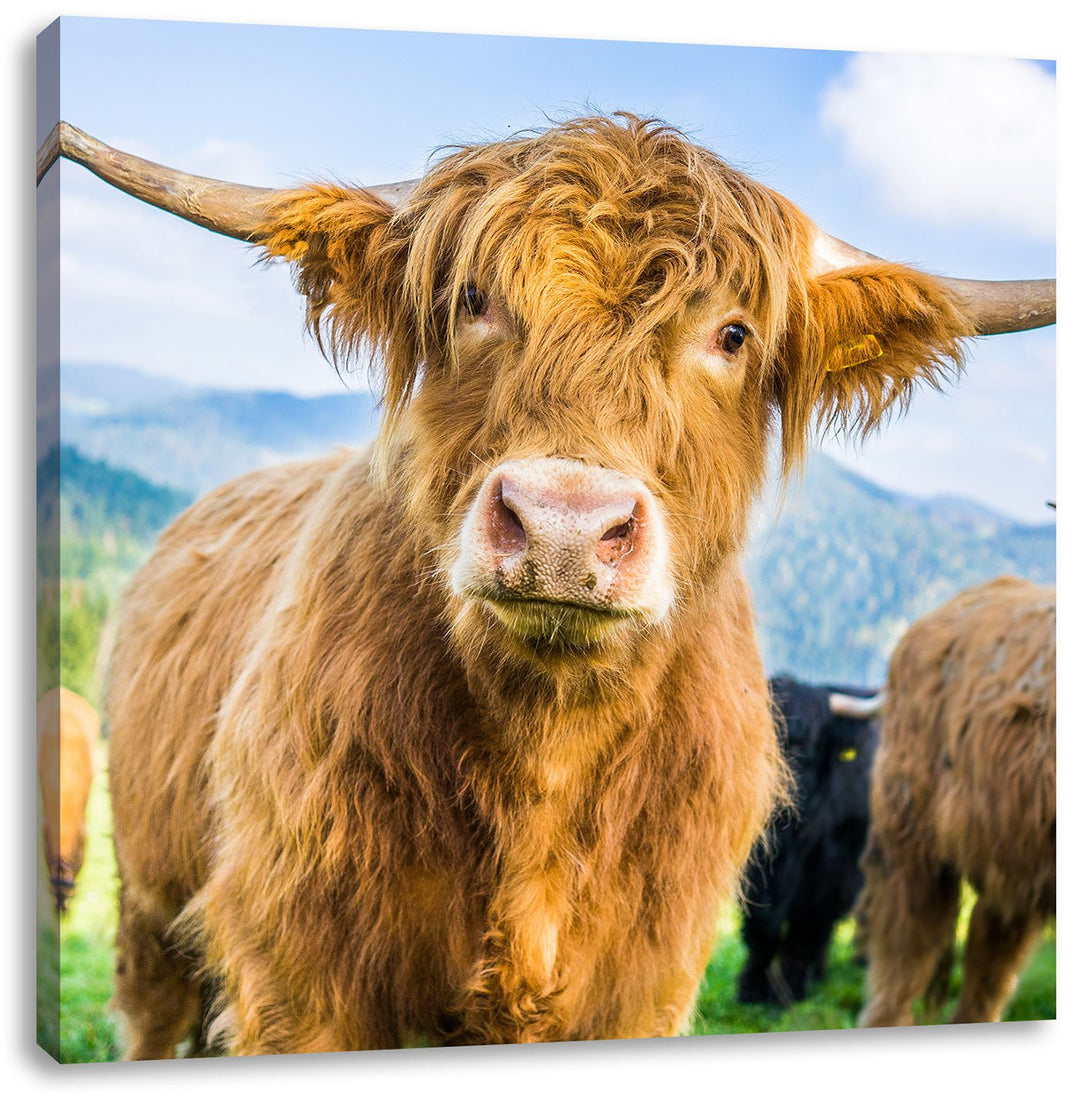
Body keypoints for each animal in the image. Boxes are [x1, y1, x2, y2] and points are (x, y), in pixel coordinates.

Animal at [737, 676, 881, 1004]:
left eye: (811, 748)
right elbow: (762, 929)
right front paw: (751, 990)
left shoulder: (831, 873)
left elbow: (805, 931)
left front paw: (787, 994)